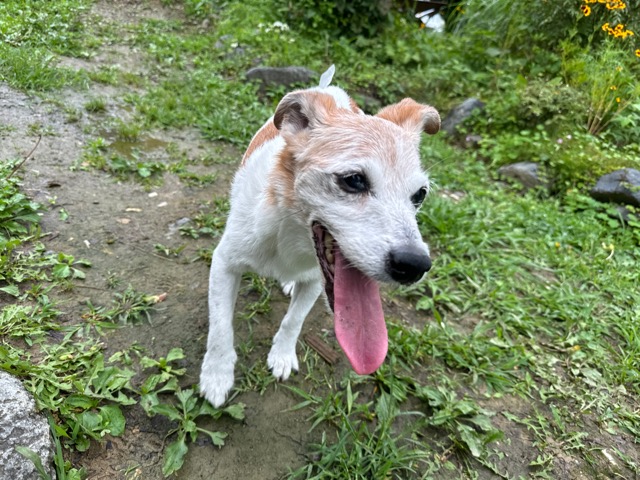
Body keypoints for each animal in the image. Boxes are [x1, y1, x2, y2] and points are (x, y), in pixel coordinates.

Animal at [199, 66, 440, 407]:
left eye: (419, 195)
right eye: (354, 180)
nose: (415, 265)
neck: (289, 235)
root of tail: (332, 91)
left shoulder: (314, 281)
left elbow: (293, 320)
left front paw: (282, 355)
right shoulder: (224, 264)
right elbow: (221, 328)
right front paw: (217, 375)